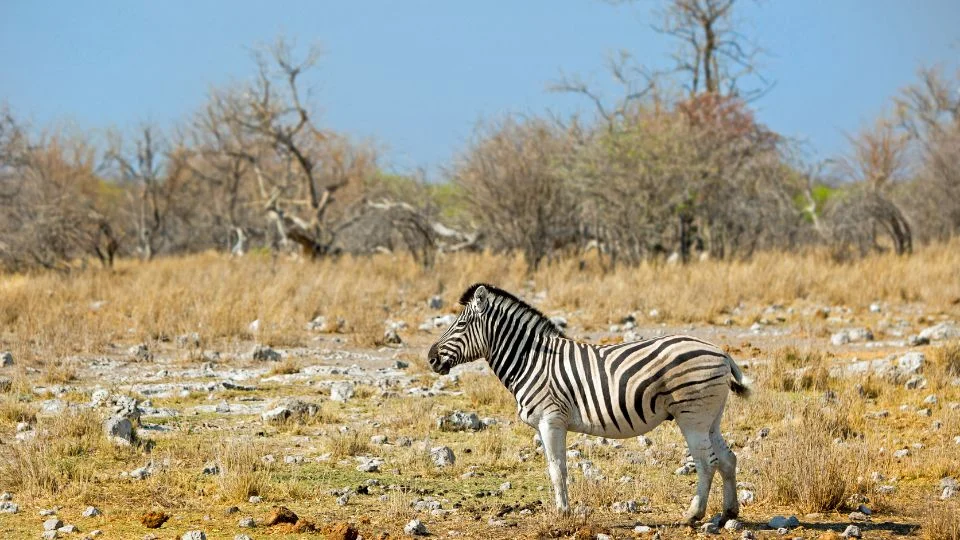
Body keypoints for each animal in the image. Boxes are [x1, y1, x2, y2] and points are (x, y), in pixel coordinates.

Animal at [427, 283, 750, 526]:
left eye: (461, 324)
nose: (430, 358)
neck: (532, 361)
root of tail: (721, 352)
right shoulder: (547, 424)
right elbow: (555, 468)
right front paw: (563, 510)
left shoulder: (551, 420)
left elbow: (557, 469)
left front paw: (563, 514)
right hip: (710, 418)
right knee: (728, 459)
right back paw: (728, 513)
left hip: (692, 417)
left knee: (707, 463)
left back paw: (693, 515)